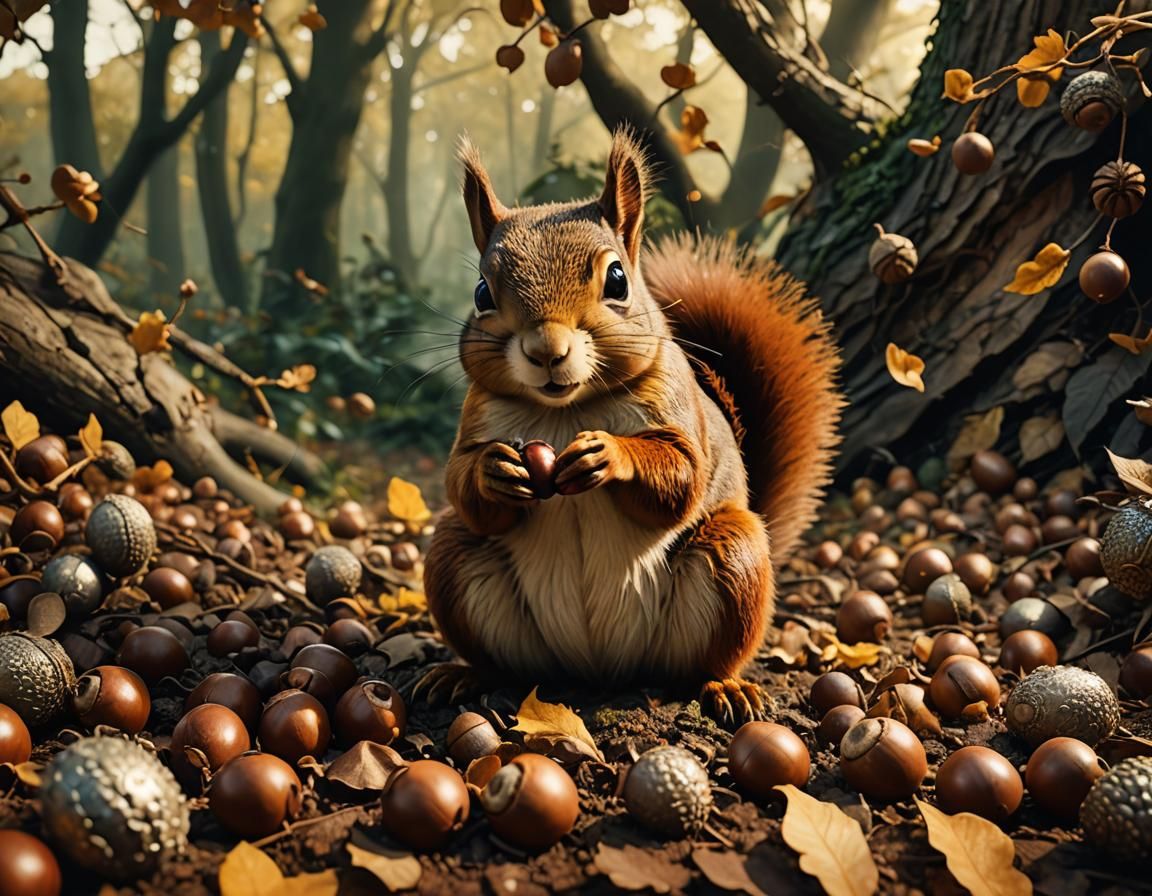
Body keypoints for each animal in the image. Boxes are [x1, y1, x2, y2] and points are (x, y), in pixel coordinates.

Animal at [421, 129, 843, 723]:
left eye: (617, 279)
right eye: (482, 293)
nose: (545, 350)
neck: (567, 410)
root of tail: (598, 669)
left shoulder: (677, 413)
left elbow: (681, 475)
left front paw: (610, 455)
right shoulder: (477, 417)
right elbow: (461, 482)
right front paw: (494, 470)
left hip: (732, 560)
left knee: (707, 660)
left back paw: (724, 687)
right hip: (455, 559)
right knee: (498, 649)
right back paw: (466, 674)